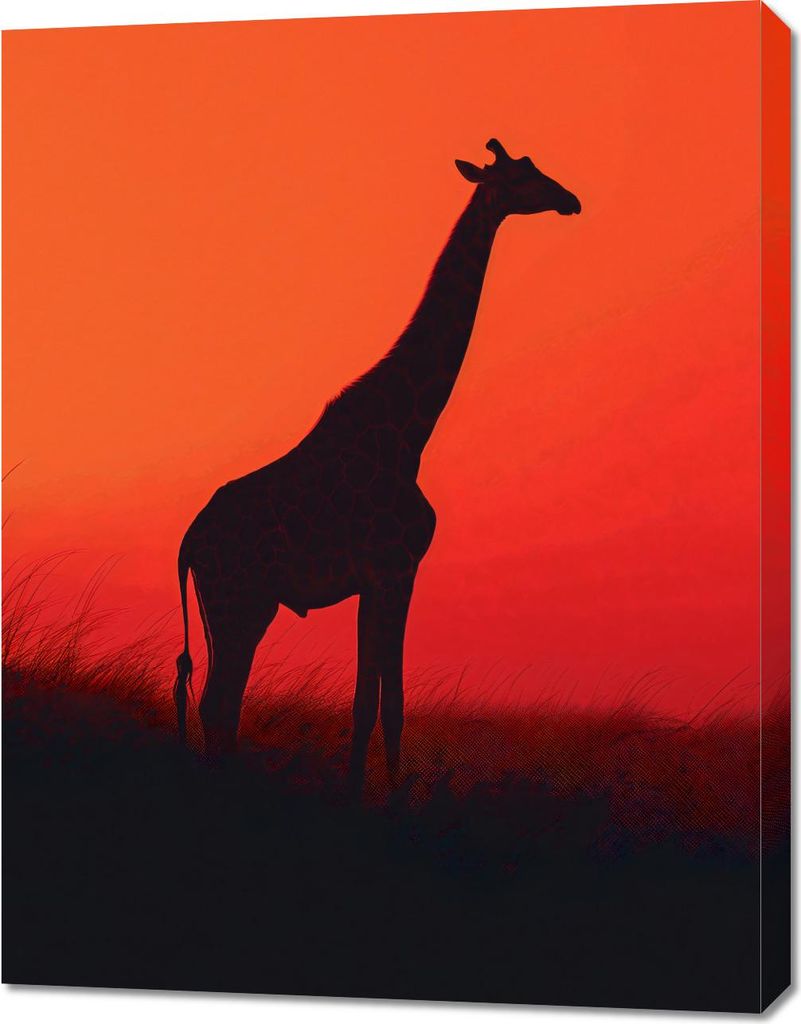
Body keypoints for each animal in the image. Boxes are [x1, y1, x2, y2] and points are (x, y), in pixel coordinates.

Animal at [174, 138, 580, 790]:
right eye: (524, 176)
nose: (570, 199)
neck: (410, 431)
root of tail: (188, 543)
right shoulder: (396, 568)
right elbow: (384, 704)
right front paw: (376, 801)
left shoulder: (378, 578)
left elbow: (375, 701)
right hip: (241, 600)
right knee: (218, 703)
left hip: (230, 606)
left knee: (221, 704)